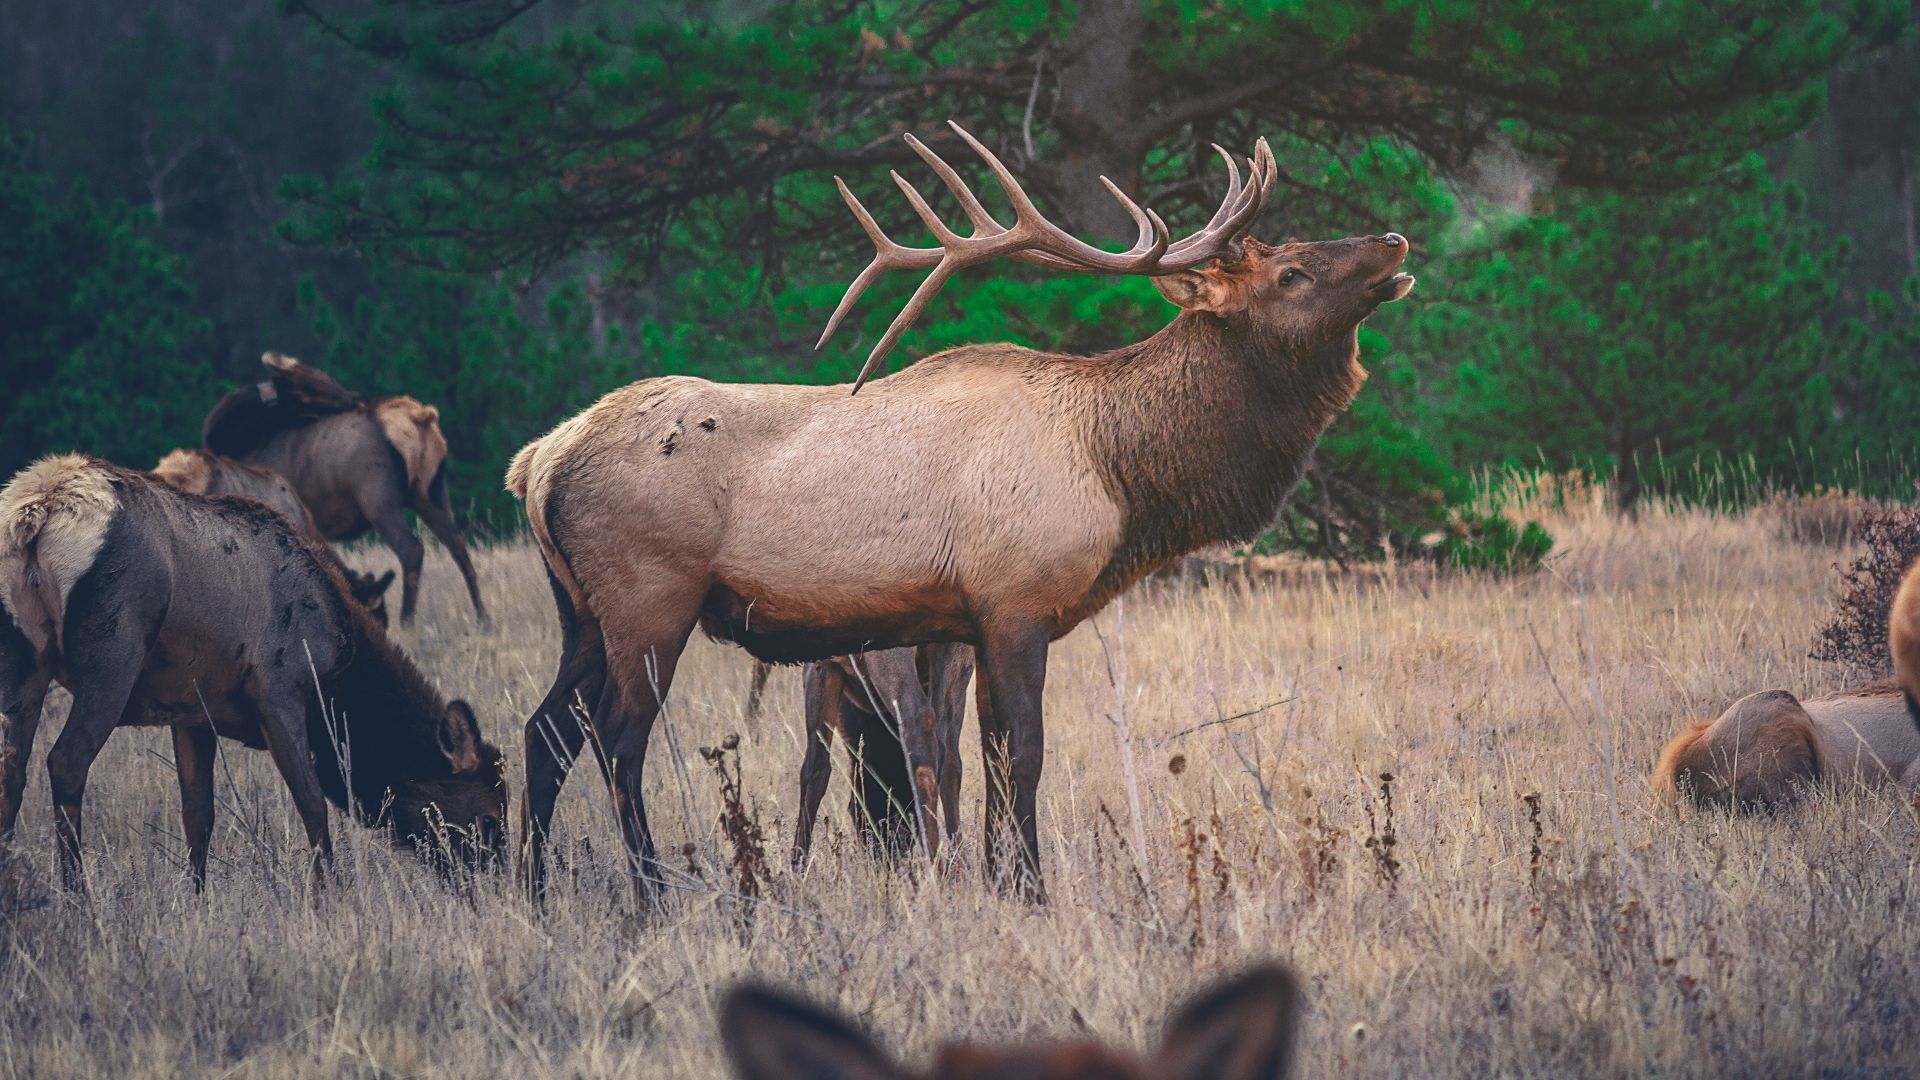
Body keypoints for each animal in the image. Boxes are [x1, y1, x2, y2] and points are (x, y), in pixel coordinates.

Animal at [0, 454, 508, 891]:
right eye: (488, 817)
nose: (499, 885)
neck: (337, 671)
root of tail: (37, 512)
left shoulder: (191, 712)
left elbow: (198, 815)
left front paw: (198, 898)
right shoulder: (279, 690)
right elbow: (313, 806)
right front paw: (327, 897)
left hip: (24, 662)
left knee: (12, 770)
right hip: (113, 655)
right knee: (66, 760)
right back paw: (77, 897)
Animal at [204, 353, 487, 625]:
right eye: (311, 384)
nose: (357, 399)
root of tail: (422, 419)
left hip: (377, 497)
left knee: (411, 549)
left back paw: (407, 622)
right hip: (431, 491)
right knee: (457, 543)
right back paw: (483, 619)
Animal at [793, 644, 973, 867]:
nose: (890, 850)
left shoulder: (819, 665)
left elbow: (815, 769)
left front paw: (797, 866)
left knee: (919, 721)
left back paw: (934, 866)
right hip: (957, 660)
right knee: (947, 757)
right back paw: (953, 862)